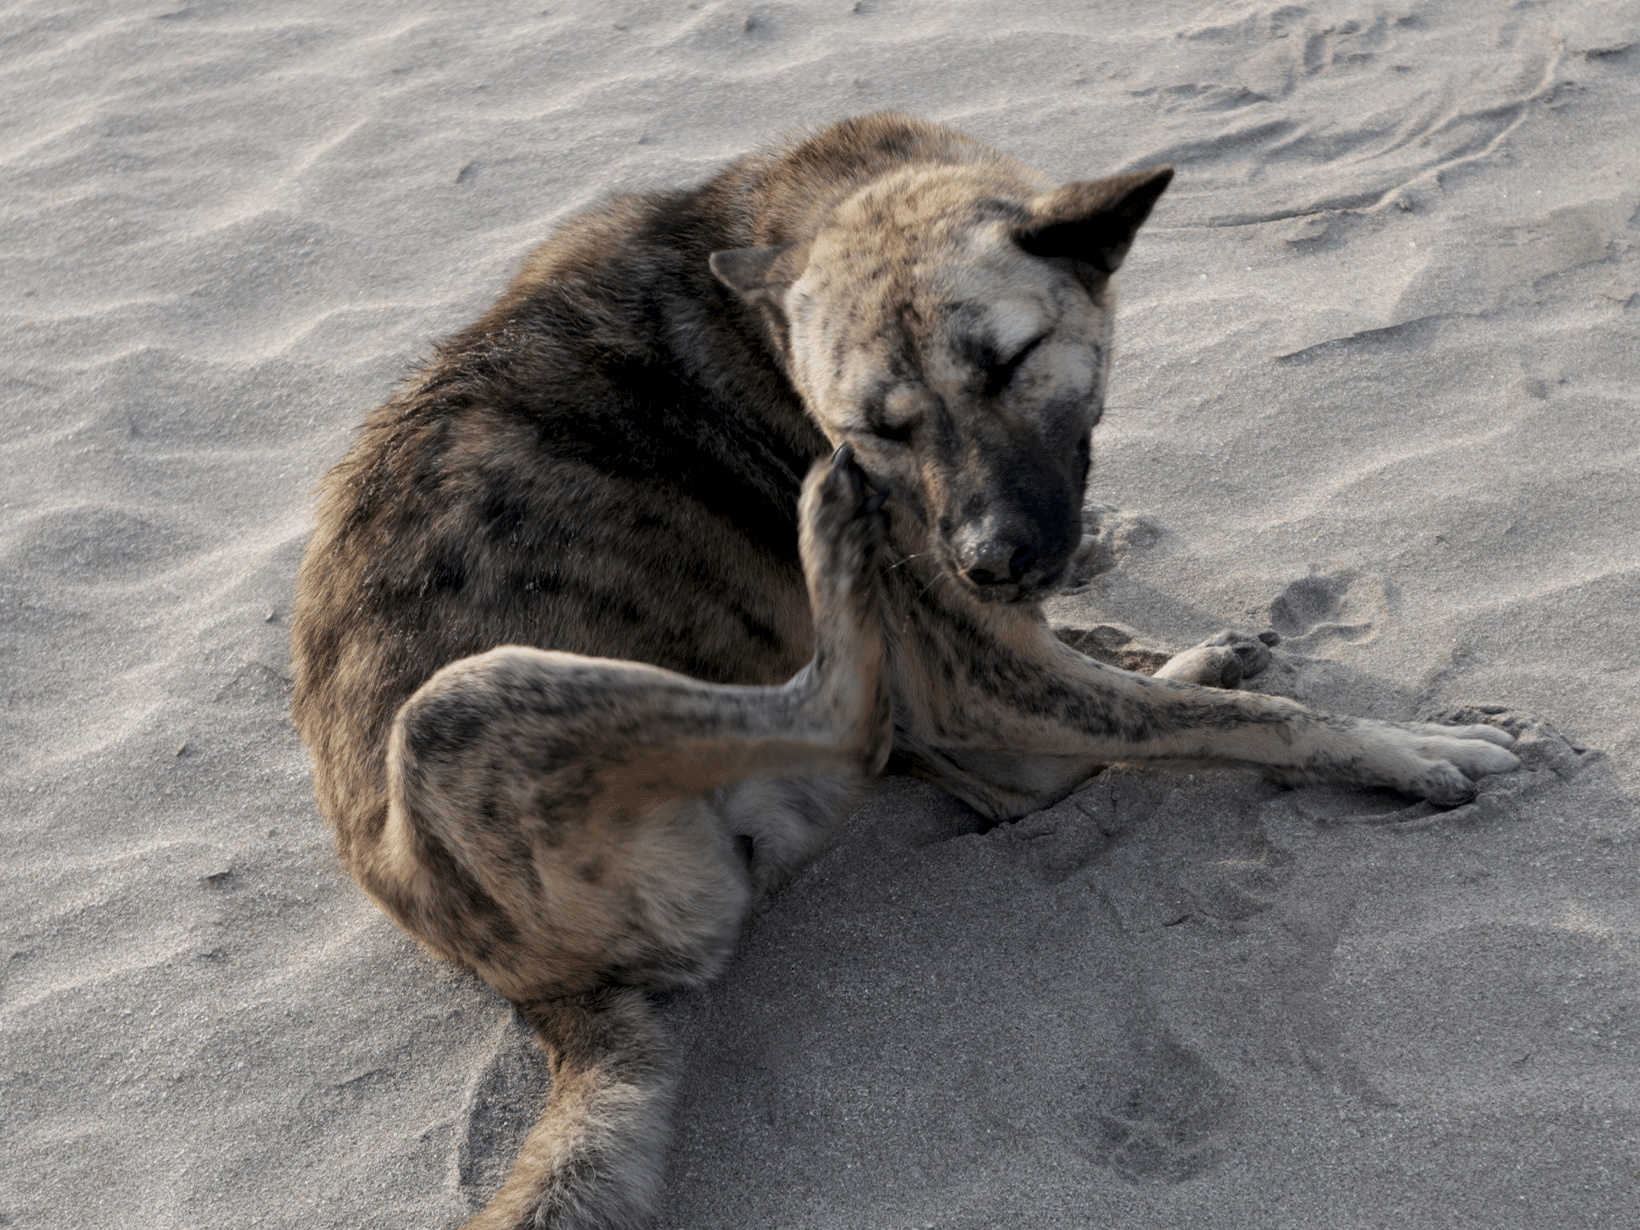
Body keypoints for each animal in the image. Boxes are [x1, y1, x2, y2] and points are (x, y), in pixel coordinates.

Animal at [288, 110, 1515, 1226]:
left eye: (1010, 365)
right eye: (875, 426)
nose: (988, 562)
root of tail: (547, 996)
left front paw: (1190, 654)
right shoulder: (976, 671)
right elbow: (1263, 717)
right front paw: (1397, 748)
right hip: (469, 709)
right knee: (880, 719)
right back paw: (837, 544)